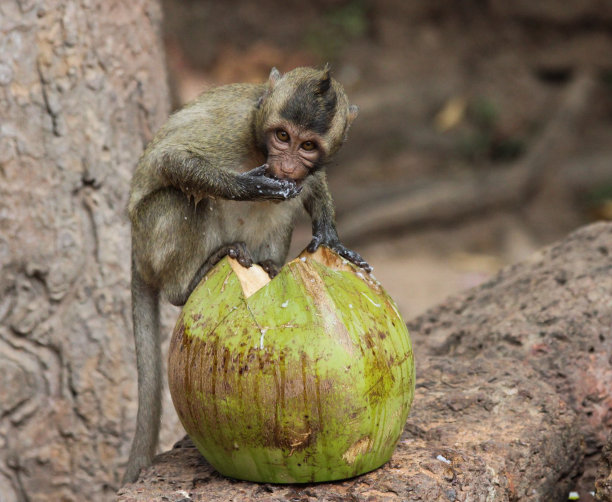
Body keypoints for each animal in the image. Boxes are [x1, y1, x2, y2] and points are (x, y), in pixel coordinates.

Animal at [123, 65, 368, 482]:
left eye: (307, 146)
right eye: (282, 137)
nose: (287, 165)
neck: (257, 137)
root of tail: (136, 250)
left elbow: (310, 185)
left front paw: (331, 239)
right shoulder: (232, 127)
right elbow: (171, 159)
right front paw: (247, 186)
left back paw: (269, 267)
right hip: (150, 235)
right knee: (179, 197)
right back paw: (189, 282)